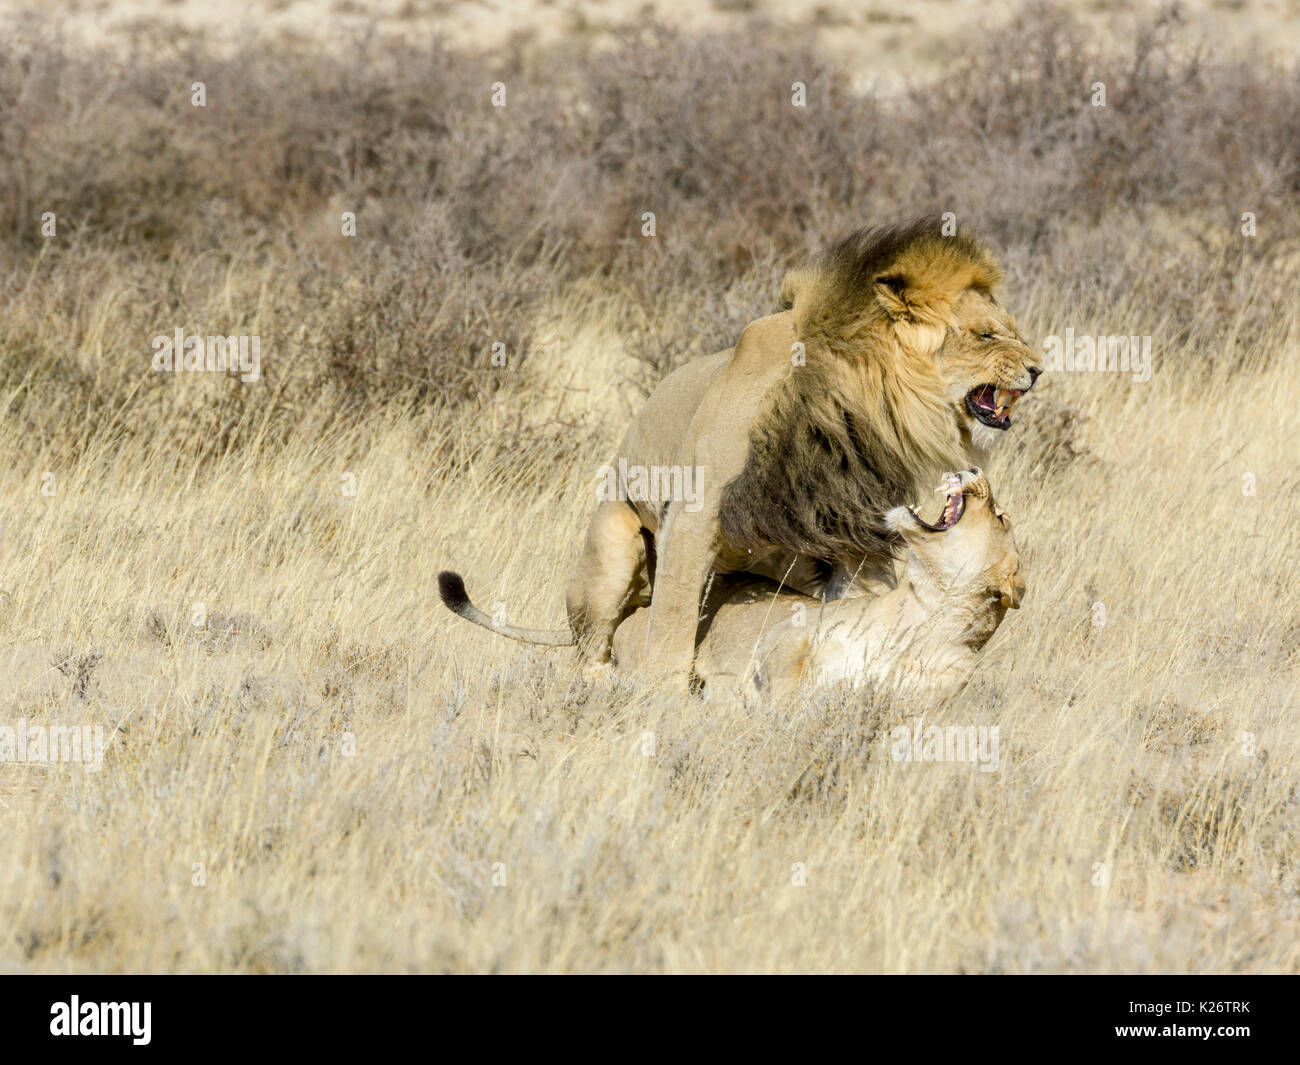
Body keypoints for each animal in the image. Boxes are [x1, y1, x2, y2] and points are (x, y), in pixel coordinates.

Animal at [441, 221, 1040, 686]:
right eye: (986, 336)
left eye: (1012, 331)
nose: (1038, 368)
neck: (847, 406)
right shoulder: (692, 517)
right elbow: (674, 624)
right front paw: (663, 699)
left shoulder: (850, 540)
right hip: (613, 545)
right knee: (599, 642)